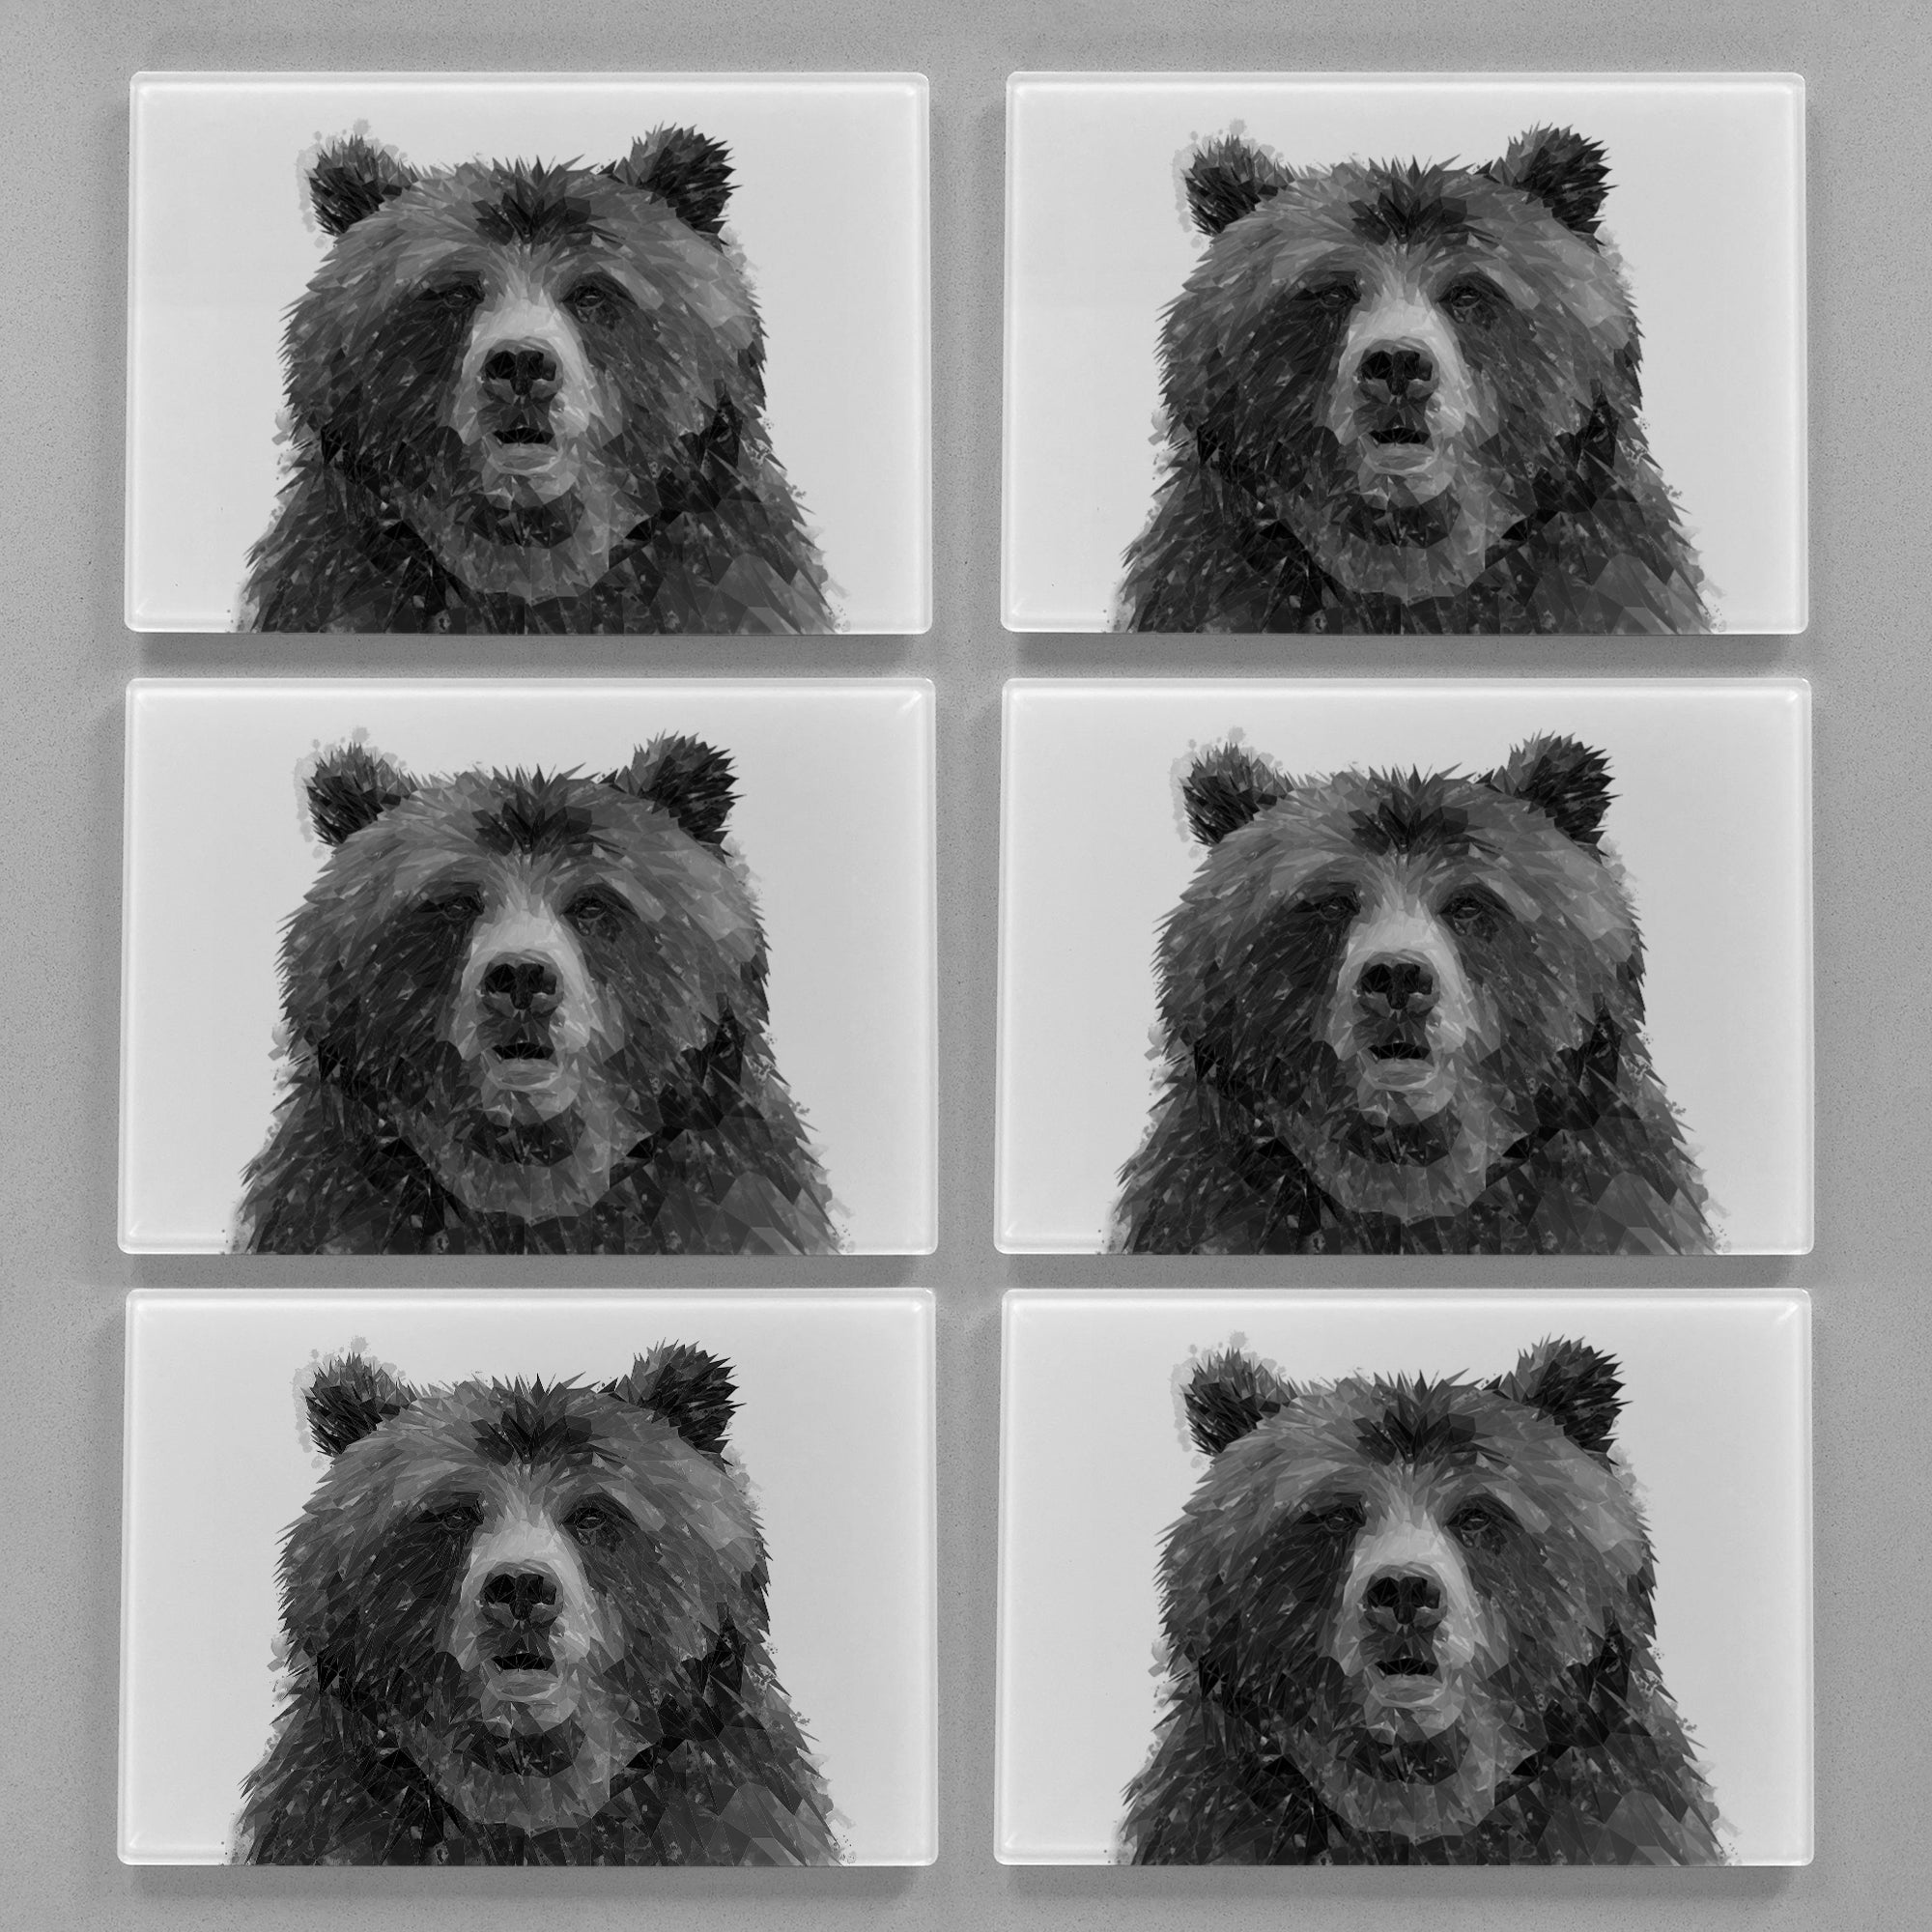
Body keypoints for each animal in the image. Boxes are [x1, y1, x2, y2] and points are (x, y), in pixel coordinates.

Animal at [233, 734, 841, 1255]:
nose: (522, 977)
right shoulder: (345, 1191)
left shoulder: (720, 1189)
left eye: (592, 903)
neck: (532, 1180)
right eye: (455, 902)